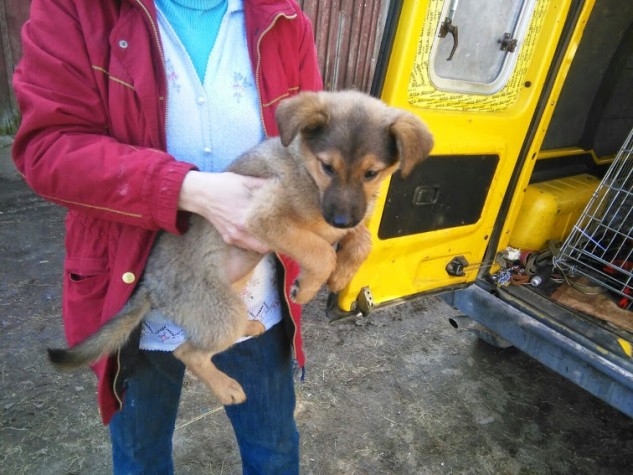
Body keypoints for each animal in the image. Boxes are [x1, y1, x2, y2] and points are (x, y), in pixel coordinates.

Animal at [47, 90, 434, 405]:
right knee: (188, 352)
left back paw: (250, 327)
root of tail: (149, 286)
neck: (306, 172)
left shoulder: (340, 222)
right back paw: (227, 388)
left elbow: (362, 240)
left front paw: (340, 277)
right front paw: (308, 287)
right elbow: (321, 253)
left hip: (233, 287)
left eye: (371, 173)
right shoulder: (265, 215)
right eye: (328, 166)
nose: (340, 219)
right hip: (219, 307)